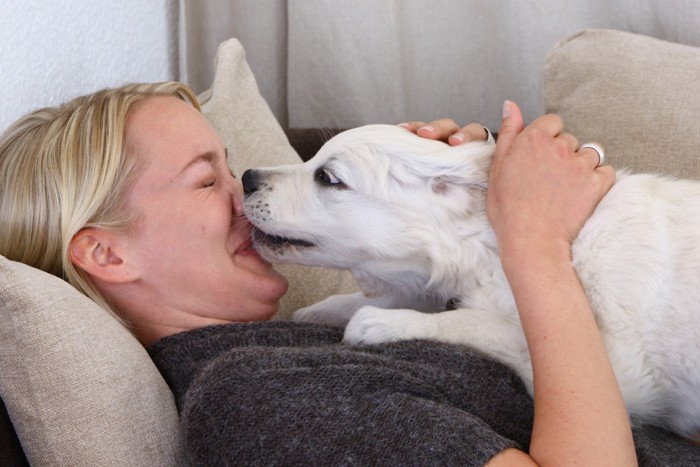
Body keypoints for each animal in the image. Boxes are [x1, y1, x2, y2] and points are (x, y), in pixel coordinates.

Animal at [242, 123, 700, 438]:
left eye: (327, 178)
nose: (246, 177)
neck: (489, 245)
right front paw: (322, 310)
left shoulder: (621, 374)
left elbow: (480, 322)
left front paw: (380, 323)